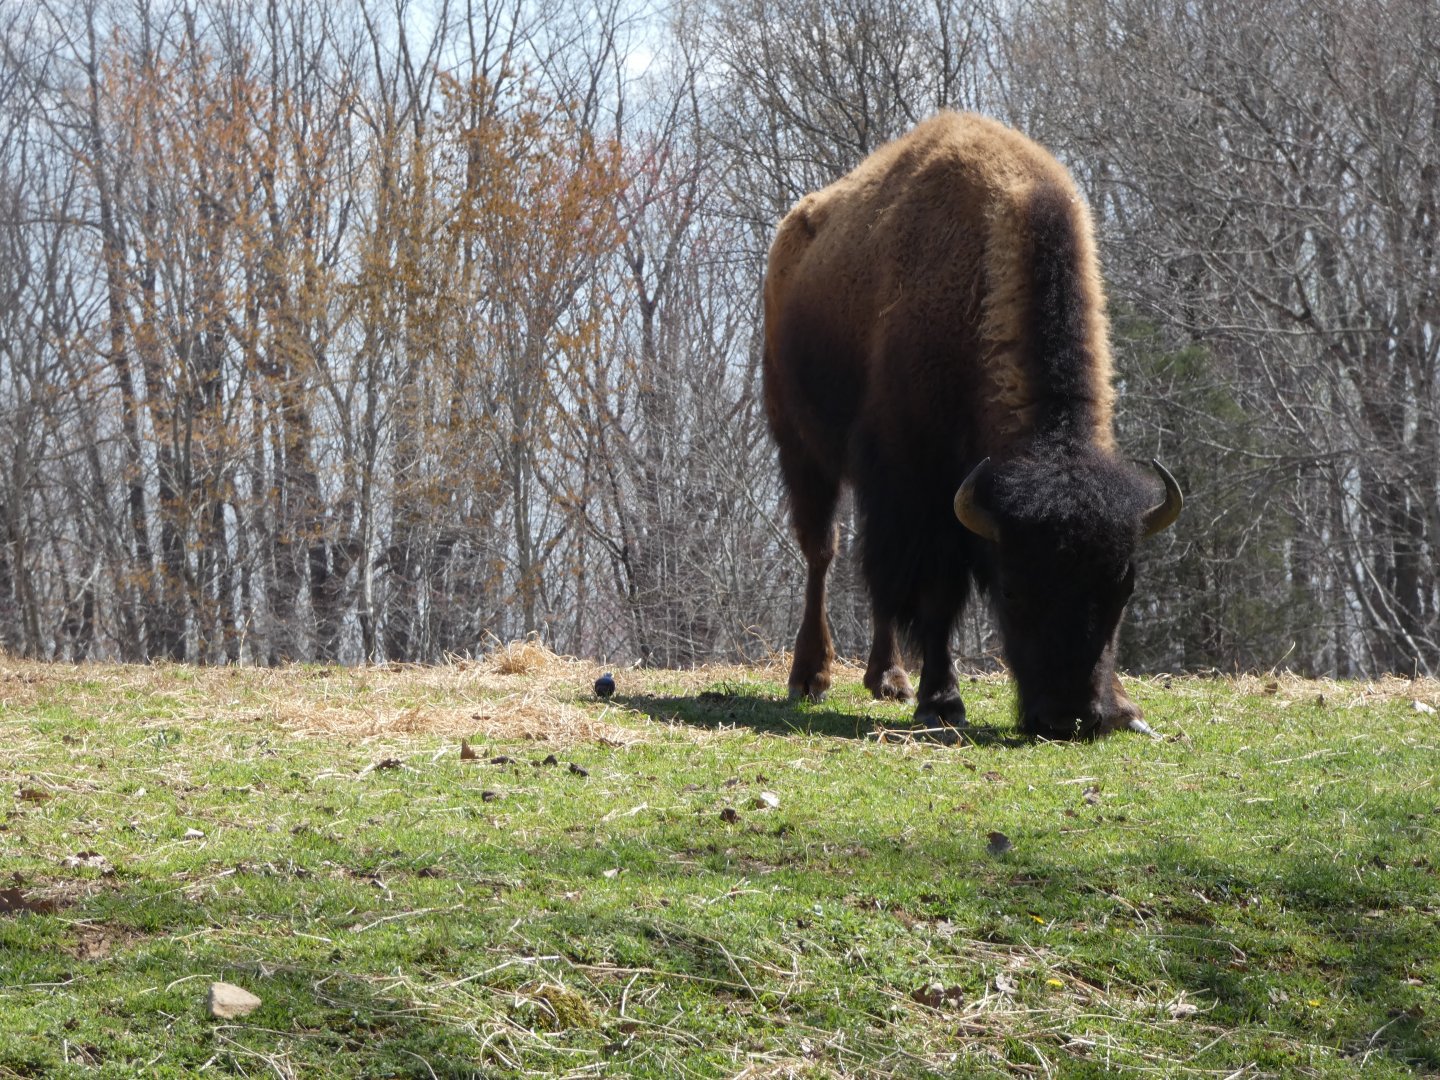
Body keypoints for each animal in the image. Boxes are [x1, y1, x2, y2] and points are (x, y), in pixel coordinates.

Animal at [762, 112, 1182, 740]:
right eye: (1011, 585)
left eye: (1123, 586)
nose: (1071, 717)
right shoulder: (921, 485)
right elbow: (936, 594)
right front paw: (942, 702)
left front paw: (1129, 708)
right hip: (801, 447)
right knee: (824, 552)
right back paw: (811, 676)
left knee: (871, 572)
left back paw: (888, 679)